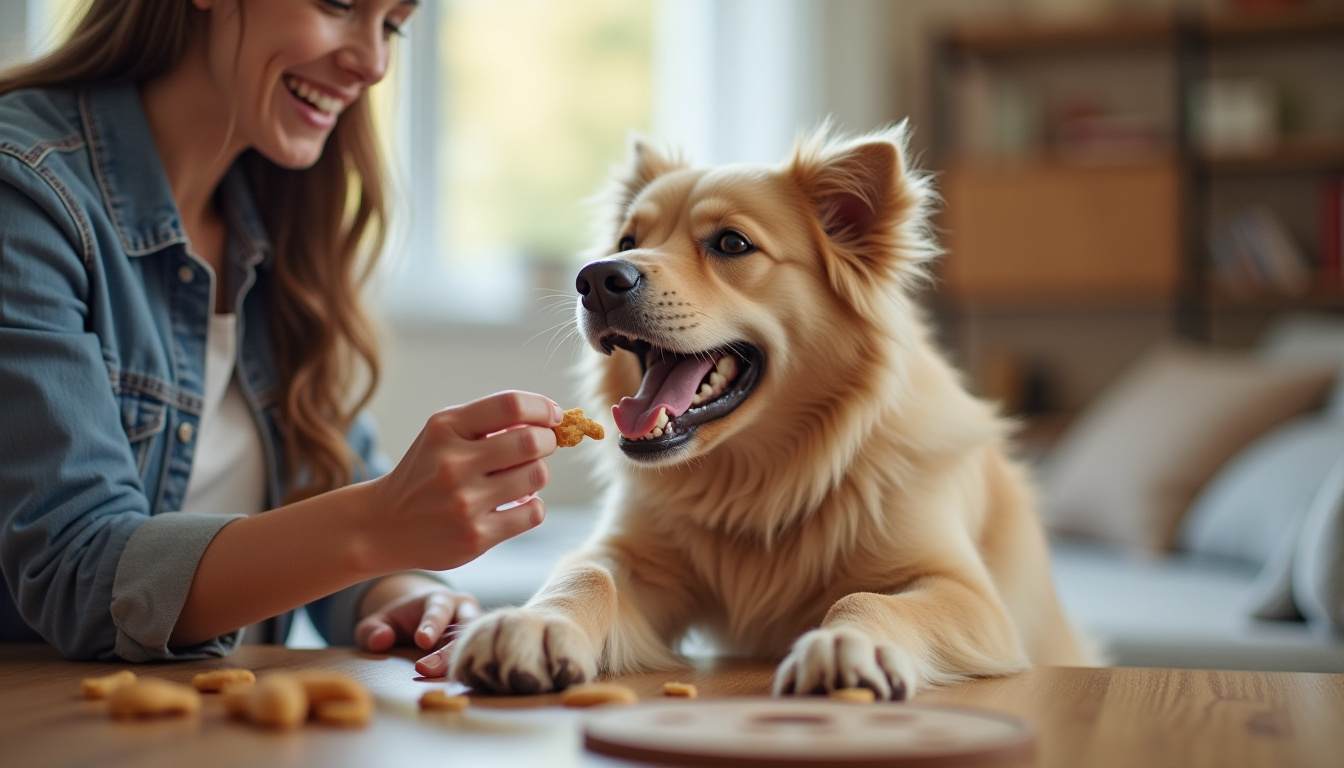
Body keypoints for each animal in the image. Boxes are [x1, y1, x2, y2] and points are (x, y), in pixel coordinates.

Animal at [451, 123, 1091, 699]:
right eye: (626, 241)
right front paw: (534, 623)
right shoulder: (633, 558)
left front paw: (846, 643)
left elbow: (865, 597)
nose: (598, 279)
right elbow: (584, 573)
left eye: (732, 243)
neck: (761, 479)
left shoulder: (970, 595)